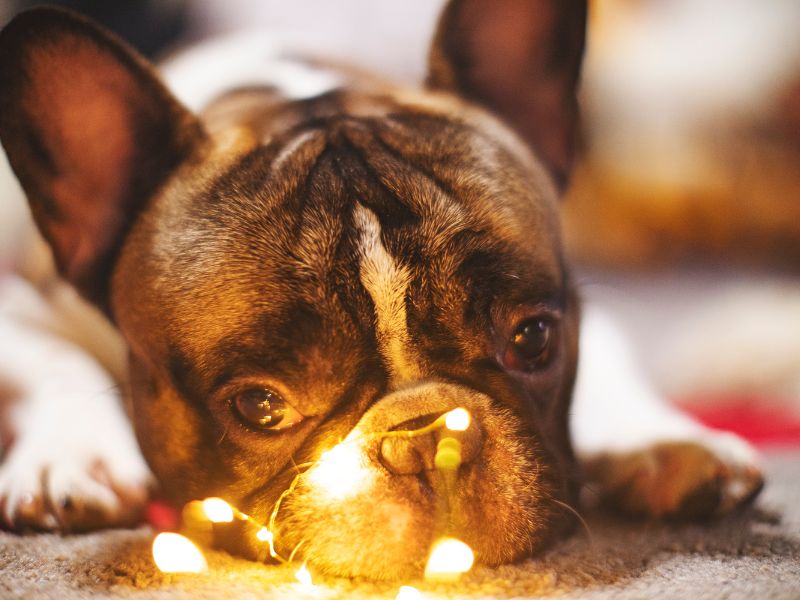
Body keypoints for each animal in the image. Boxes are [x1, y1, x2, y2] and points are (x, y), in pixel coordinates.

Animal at [0, 1, 764, 580]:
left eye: (533, 338)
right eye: (259, 405)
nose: (428, 436)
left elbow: (609, 360)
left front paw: (667, 442)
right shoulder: (21, 302)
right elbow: (54, 360)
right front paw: (74, 459)